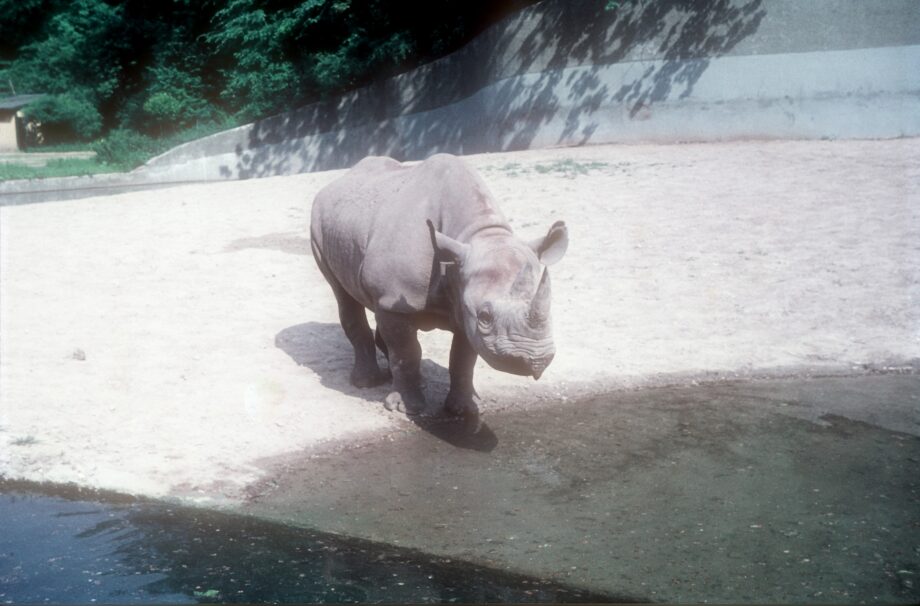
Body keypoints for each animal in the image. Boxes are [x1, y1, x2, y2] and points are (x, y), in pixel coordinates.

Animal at [310, 153, 568, 417]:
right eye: (485, 317)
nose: (534, 360)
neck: (474, 235)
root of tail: (338, 180)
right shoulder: (399, 299)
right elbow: (406, 352)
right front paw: (405, 408)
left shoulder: (462, 307)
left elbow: (463, 359)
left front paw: (464, 409)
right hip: (318, 224)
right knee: (343, 295)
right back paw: (367, 382)